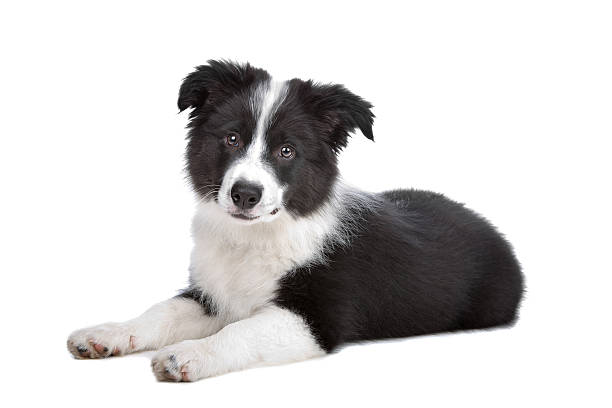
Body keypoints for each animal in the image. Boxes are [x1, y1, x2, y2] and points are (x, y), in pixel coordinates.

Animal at [68, 61, 524, 382]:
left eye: (286, 150)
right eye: (232, 138)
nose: (245, 194)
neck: (257, 236)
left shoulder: (318, 317)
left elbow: (242, 331)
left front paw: (192, 354)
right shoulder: (214, 293)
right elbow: (161, 312)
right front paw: (105, 334)